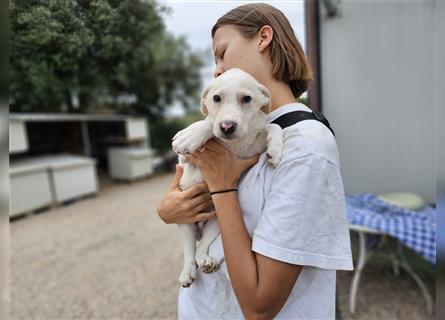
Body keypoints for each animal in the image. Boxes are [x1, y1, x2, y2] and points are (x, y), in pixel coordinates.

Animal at [170, 68, 280, 288]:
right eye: (216, 98)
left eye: (247, 99)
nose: (227, 127)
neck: (234, 143)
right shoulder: (185, 160)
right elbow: (207, 123)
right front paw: (191, 135)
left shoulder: (253, 146)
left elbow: (273, 127)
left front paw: (275, 150)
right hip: (185, 224)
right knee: (189, 252)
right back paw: (187, 273)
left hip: (216, 224)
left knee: (201, 247)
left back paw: (205, 260)